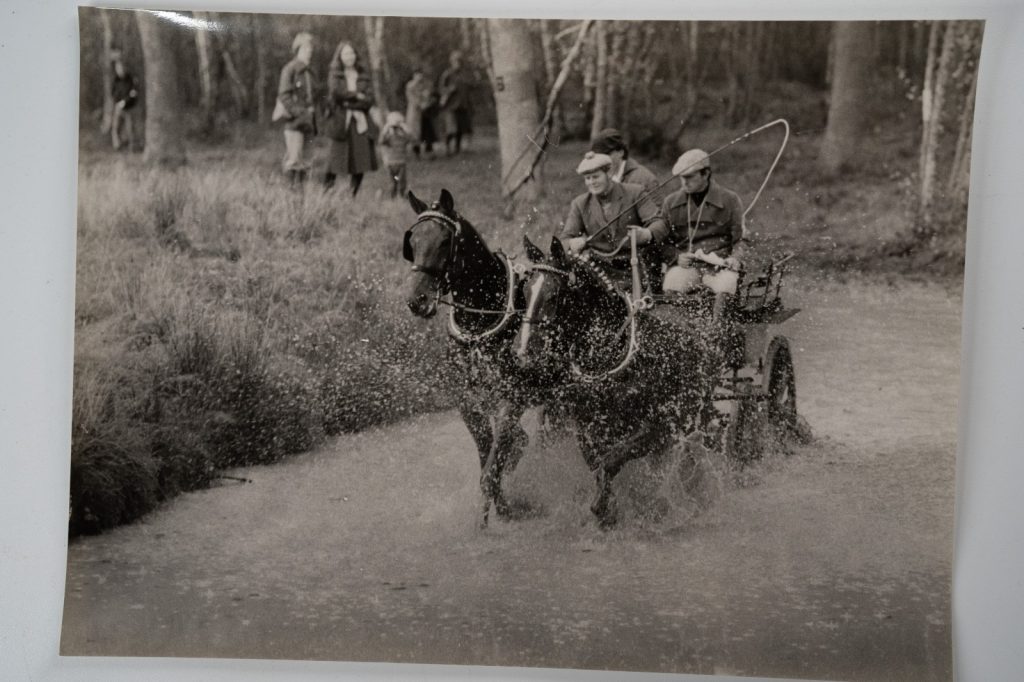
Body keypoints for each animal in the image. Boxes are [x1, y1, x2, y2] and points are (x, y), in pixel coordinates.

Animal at [403, 189, 556, 526]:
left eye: (444, 242)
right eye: (413, 241)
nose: (416, 300)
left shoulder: (513, 397)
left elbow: (495, 459)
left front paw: (491, 515)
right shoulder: (468, 401)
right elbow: (490, 454)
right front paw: (502, 505)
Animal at [514, 235, 715, 528]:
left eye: (552, 296)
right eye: (526, 292)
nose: (522, 352)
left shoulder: (657, 427)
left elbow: (612, 460)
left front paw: (606, 509)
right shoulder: (588, 428)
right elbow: (597, 463)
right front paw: (612, 508)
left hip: (692, 415)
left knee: (687, 456)